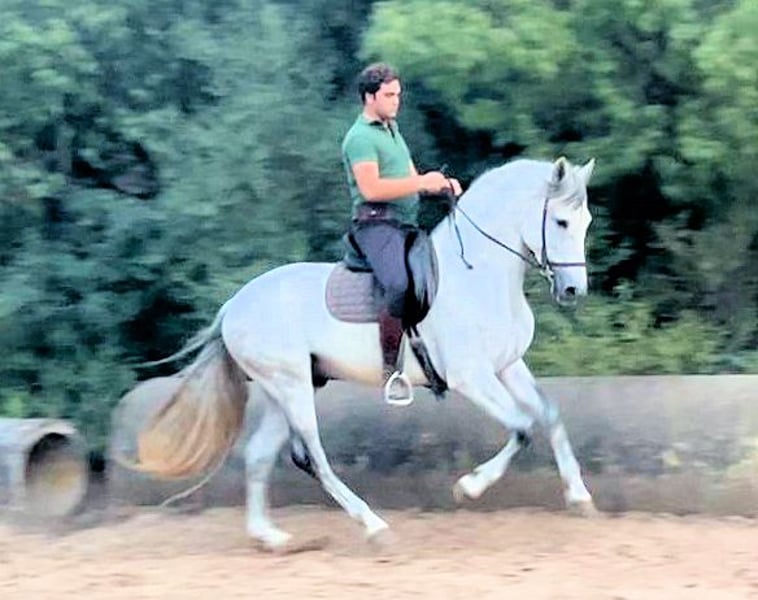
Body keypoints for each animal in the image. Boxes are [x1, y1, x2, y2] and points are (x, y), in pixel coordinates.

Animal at [132, 156, 597, 549]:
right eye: (560, 221)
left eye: (586, 221)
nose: (574, 291)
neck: (478, 274)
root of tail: (235, 305)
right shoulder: (472, 376)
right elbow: (522, 427)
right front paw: (469, 487)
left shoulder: (507, 366)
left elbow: (550, 416)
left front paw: (579, 497)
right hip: (292, 387)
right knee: (313, 458)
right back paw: (373, 527)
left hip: (287, 388)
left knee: (260, 454)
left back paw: (270, 537)